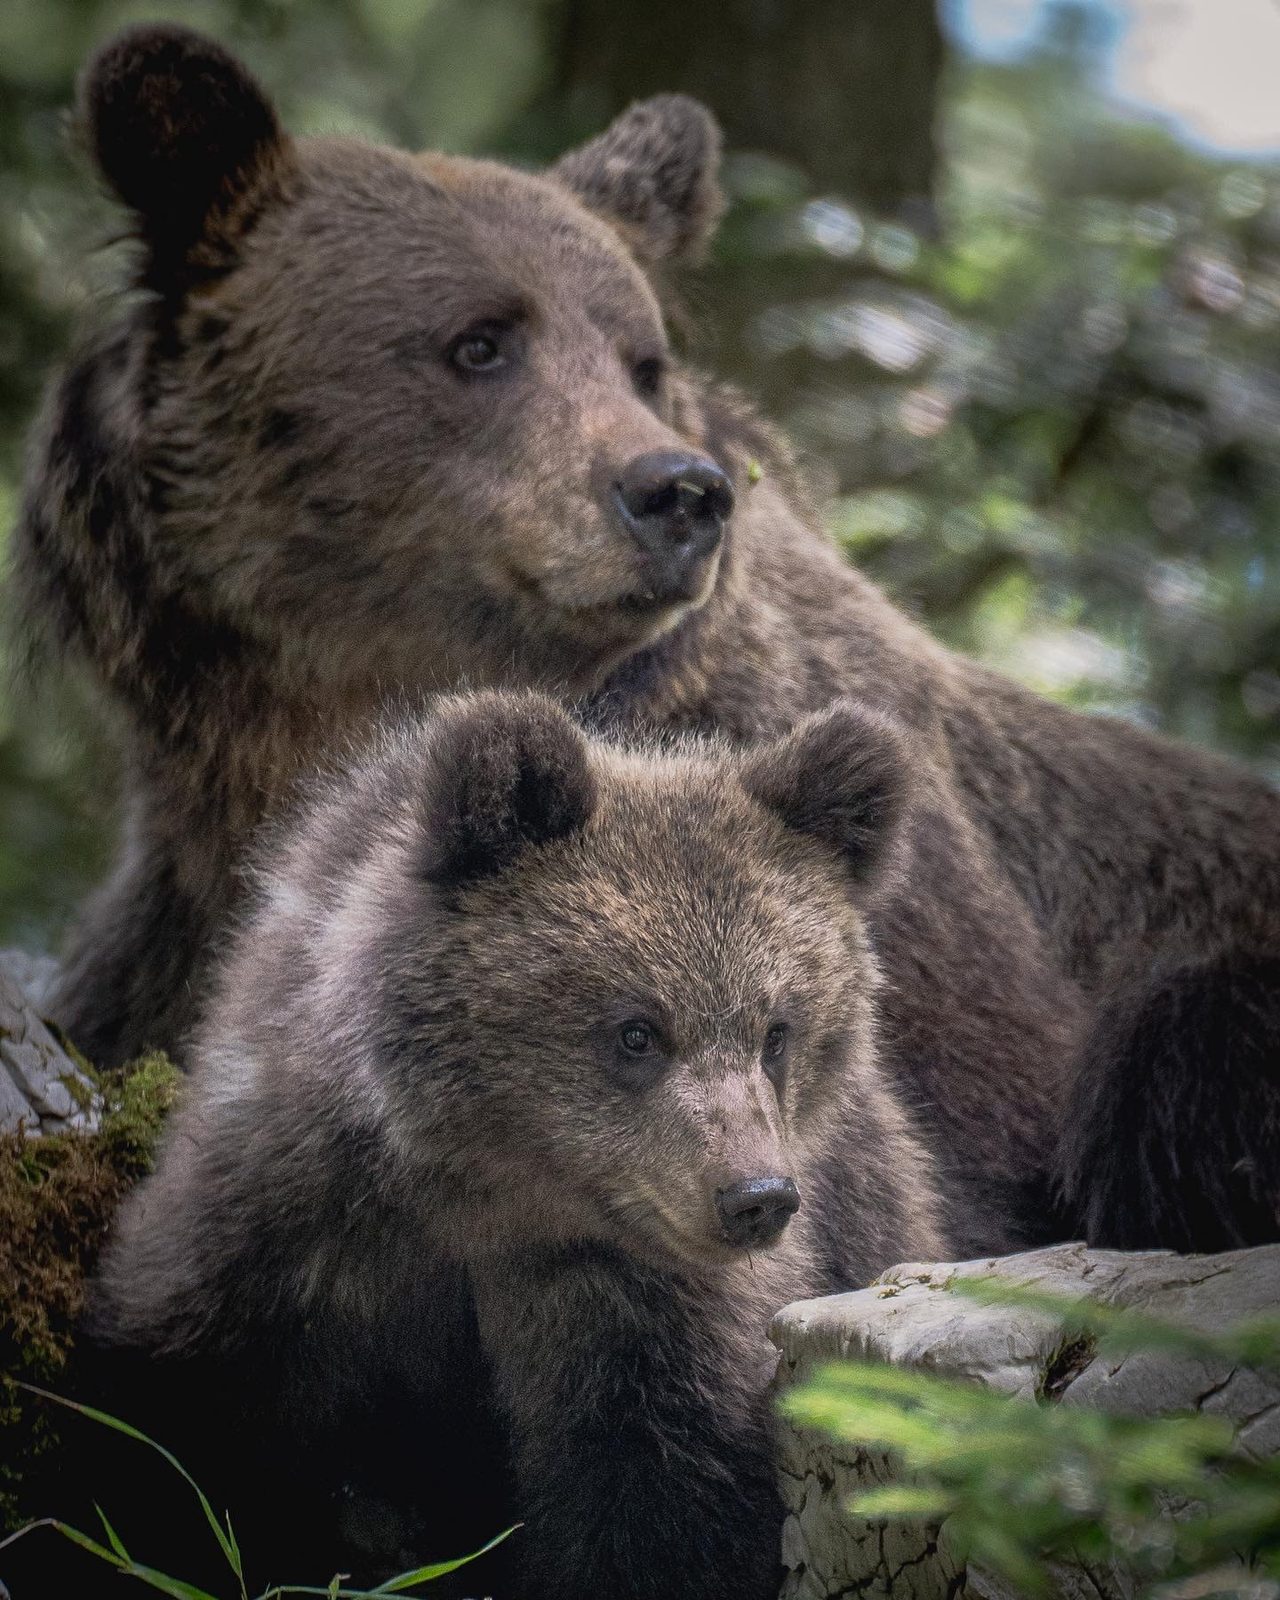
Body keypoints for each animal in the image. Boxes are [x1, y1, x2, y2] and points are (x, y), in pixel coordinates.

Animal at [23, 689, 950, 1600]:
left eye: (777, 1032)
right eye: (637, 1031)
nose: (756, 1197)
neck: (483, 1198)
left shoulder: (639, 1319)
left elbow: (664, 1511)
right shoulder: (281, 1227)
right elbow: (168, 1438)